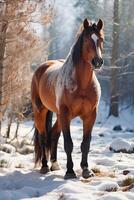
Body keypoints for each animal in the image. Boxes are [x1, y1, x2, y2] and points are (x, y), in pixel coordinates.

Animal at [31, 18, 103, 179]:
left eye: (101, 39)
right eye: (87, 39)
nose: (97, 62)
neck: (82, 84)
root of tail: (42, 67)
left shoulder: (90, 116)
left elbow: (85, 144)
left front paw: (86, 170)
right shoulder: (65, 113)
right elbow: (68, 144)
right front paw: (70, 171)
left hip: (59, 116)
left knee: (53, 134)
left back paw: (55, 164)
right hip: (41, 111)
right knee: (43, 137)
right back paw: (45, 166)